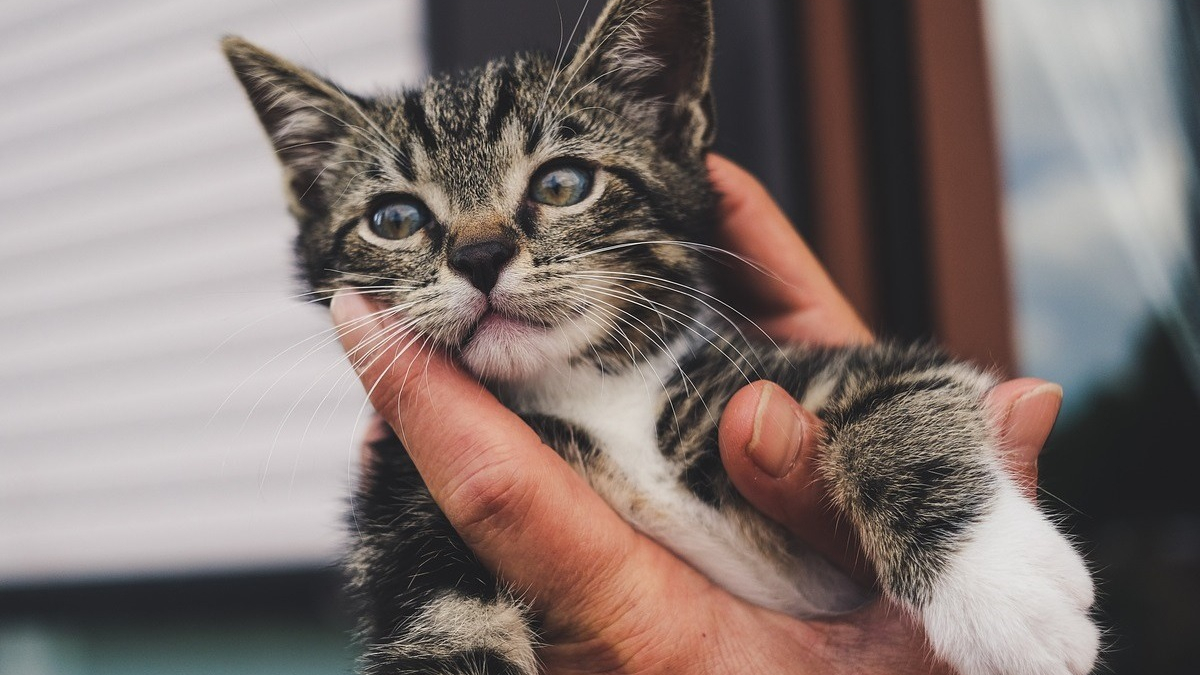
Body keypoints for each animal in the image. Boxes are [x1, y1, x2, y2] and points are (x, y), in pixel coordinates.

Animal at [223, 1, 1099, 672]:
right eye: (396, 218)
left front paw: (1005, 588)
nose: (478, 254)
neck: (596, 391)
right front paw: (1010, 591)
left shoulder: (791, 380)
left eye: (563, 183)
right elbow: (445, 628)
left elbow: (899, 403)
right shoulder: (406, 513)